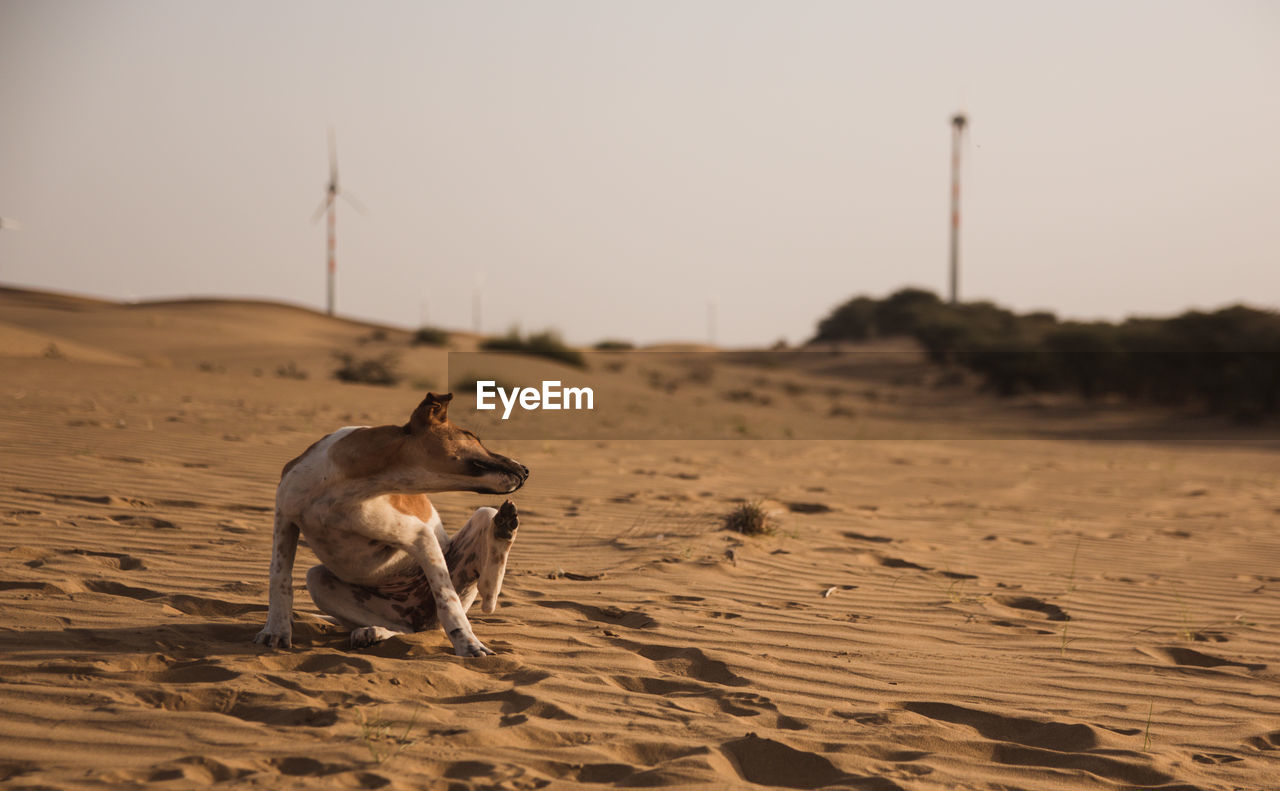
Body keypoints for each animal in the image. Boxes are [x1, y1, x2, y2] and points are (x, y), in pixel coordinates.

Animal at [252, 391, 527, 655]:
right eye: (471, 436)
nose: (525, 470)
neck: (342, 485)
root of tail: (416, 615)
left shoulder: (420, 536)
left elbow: (448, 601)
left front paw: (468, 644)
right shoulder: (285, 518)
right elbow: (279, 578)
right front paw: (276, 630)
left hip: (480, 520)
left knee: (486, 593)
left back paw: (503, 527)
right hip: (319, 581)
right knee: (403, 628)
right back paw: (372, 632)